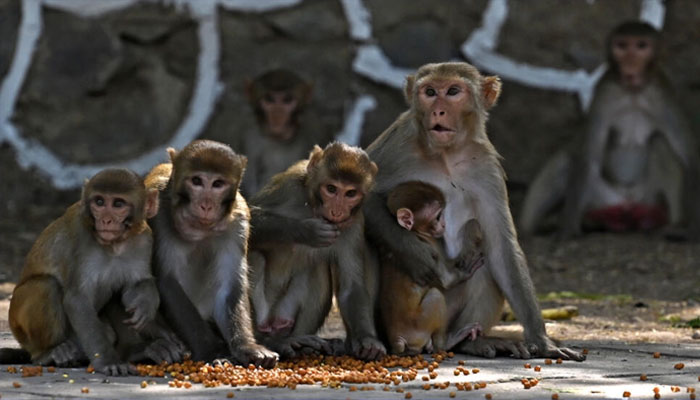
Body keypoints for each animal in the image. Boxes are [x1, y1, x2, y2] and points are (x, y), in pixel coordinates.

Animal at [5, 168, 184, 375]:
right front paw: (108, 362)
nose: (105, 220)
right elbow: (77, 299)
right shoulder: (80, 237)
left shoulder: (144, 239)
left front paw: (146, 305)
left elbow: (136, 284)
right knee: (46, 285)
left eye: (118, 204)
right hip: (22, 328)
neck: (115, 245)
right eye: (99, 202)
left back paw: (137, 350)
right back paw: (48, 353)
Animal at [146, 139, 278, 368]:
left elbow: (229, 287)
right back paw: (157, 348)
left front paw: (248, 348)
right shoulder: (159, 212)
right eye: (196, 181)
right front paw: (213, 351)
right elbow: (167, 281)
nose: (206, 205)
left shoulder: (238, 221)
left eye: (217, 184)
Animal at [247, 142, 385, 360]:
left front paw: (368, 339)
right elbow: (248, 216)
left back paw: (299, 342)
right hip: (262, 317)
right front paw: (307, 231)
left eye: (350, 193)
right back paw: (269, 343)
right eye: (331, 188)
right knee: (255, 256)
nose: (337, 211)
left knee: (317, 269)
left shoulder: (354, 224)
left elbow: (351, 286)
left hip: (284, 316)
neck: (312, 207)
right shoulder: (289, 185)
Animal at [381, 181, 483, 355]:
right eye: (437, 216)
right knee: (436, 295)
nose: (443, 224)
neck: (416, 232)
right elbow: (447, 280)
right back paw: (446, 343)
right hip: (420, 323)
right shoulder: (431, 248)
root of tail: (397, 340)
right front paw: (466, 268)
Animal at [519, 21, 700, 238]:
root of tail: (627, 203)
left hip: (648, 197)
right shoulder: (605, 94)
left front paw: (694, 229)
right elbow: (588, 158)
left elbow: (690, 158)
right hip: (602, 199)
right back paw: (533, 228)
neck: (633, 93)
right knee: (566, 162)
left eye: (641, 46)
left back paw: (672, 223)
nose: (630, 64)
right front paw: (568, 229)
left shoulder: (662, 95)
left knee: (660, 144)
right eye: (621, 46)